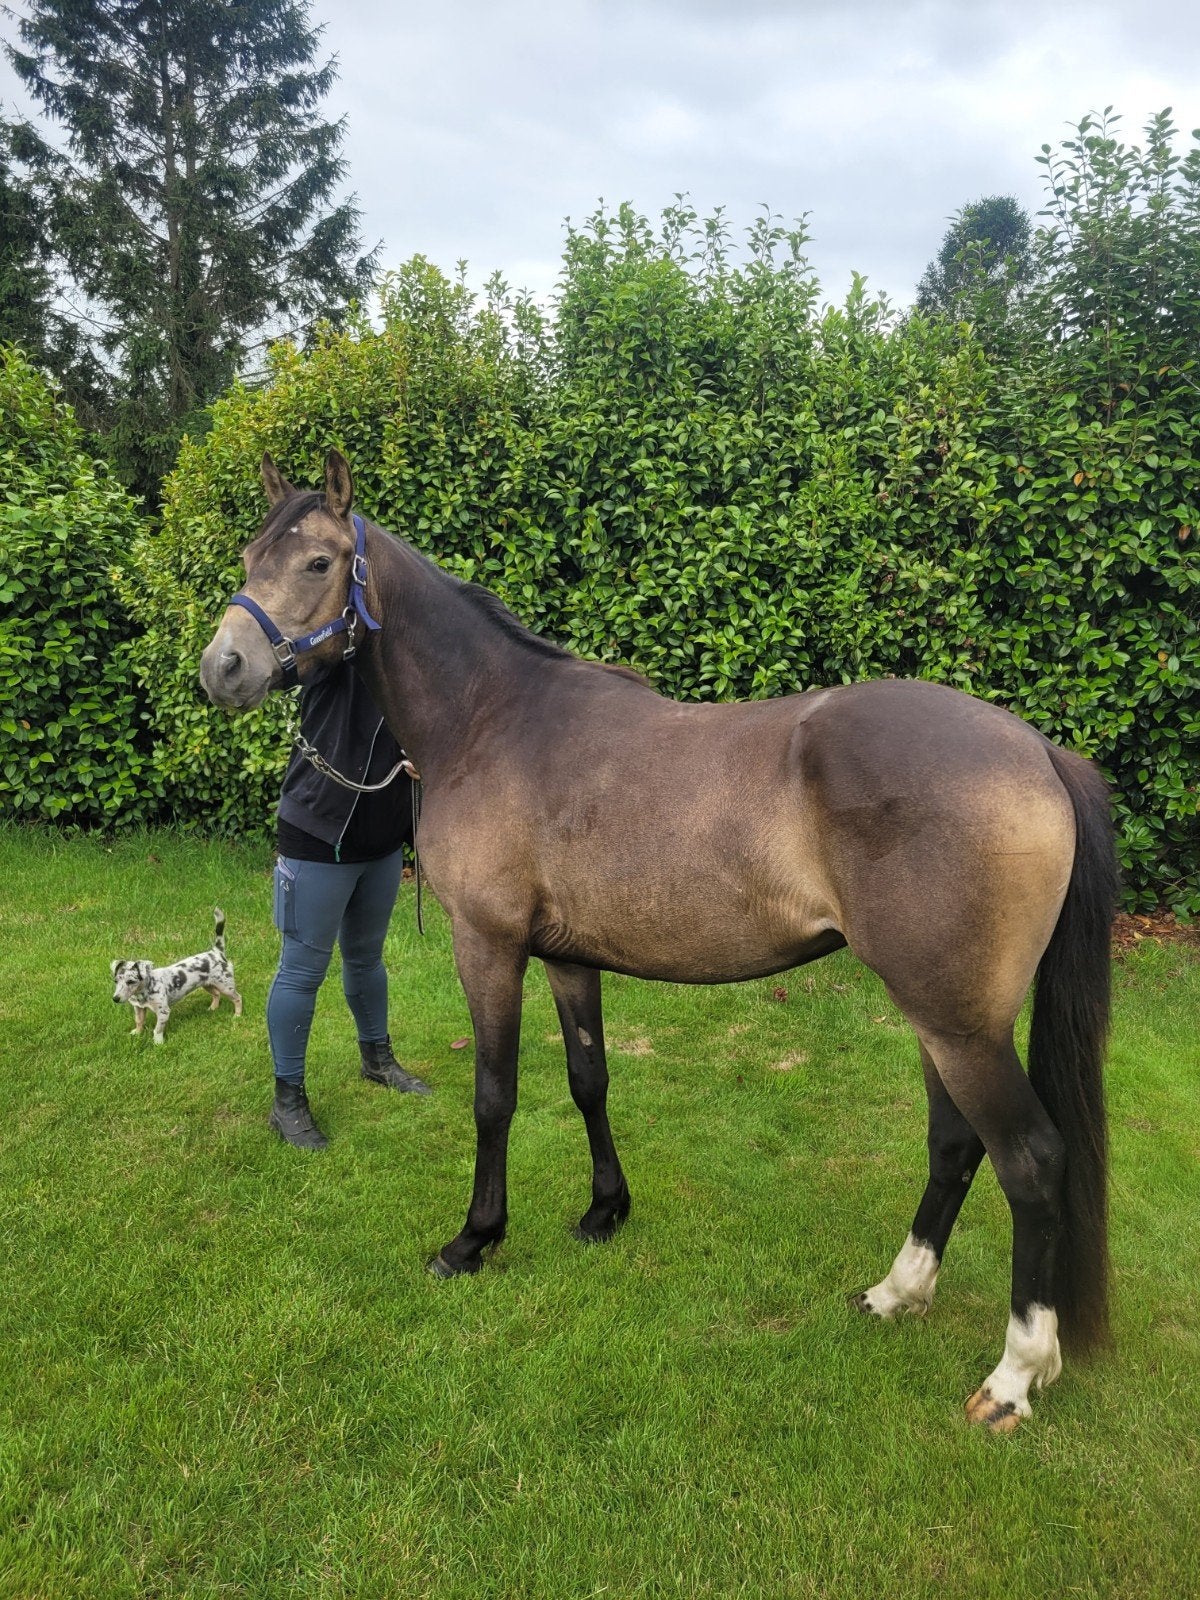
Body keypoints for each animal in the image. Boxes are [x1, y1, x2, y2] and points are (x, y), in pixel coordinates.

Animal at [200, 449, 1117, 1432]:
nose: (223, 667)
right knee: (954, 1144)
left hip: (959, 1026)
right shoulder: (569, 958)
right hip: (942, 1020)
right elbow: (589, 1079)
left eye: (318, 562)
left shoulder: (487, 946)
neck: (490, 718)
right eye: (251, 554)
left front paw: (475, 1239)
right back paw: (895, 1293)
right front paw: (605, 1211)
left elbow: (495, 1096)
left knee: (1029, 1160)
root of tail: (1038, 752)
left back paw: (1015, 1376)